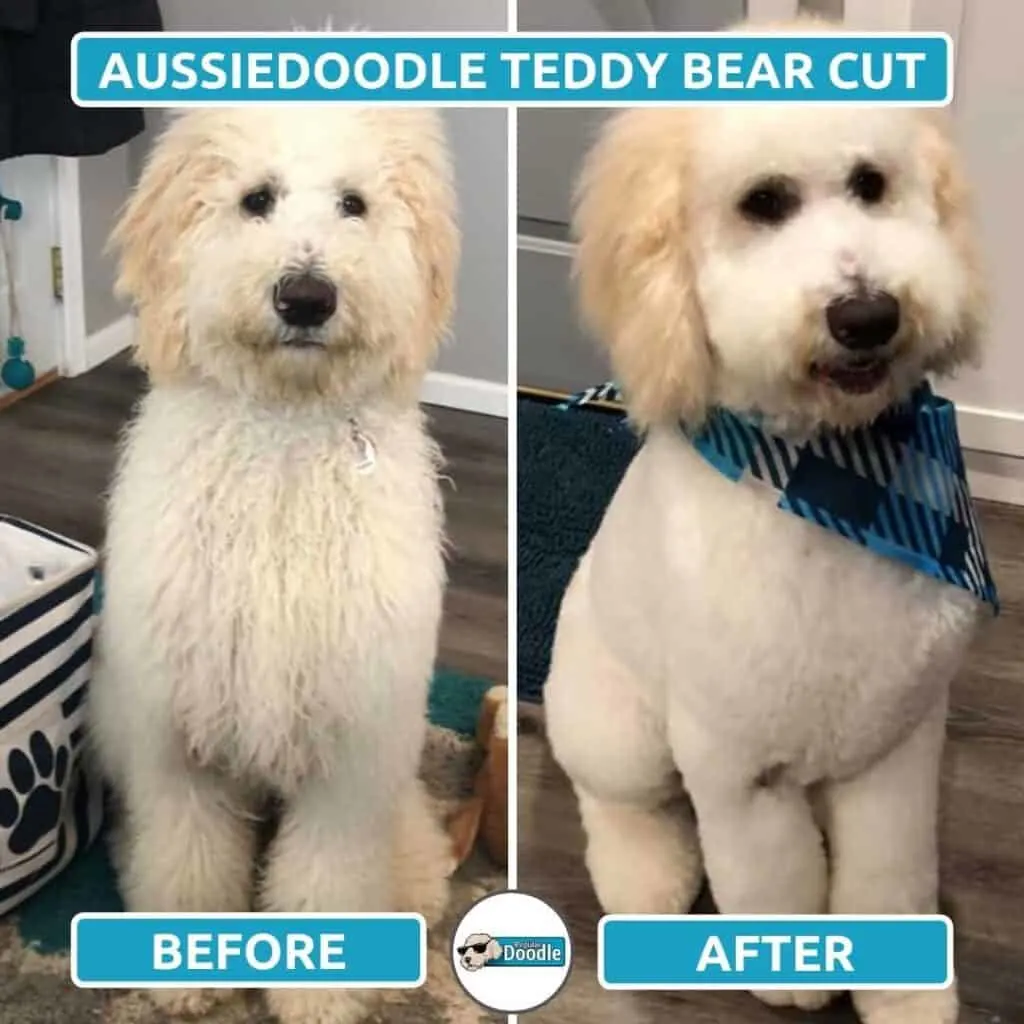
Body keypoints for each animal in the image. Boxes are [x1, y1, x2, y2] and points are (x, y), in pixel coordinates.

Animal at [92, 105, 460, 1024]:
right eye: (255, 198)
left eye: (354, 203)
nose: (306, 296)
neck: (285, 433)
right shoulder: (180, 742)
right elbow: (188, 858)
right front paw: (185, 978)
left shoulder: (350, 754)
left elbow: (328, 873)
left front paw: (319, 995)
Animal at [548, 18, 987, 1024]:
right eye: (765, 203)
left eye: (871, 183)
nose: (867, 313)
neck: (835, 485)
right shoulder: (737, 769)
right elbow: (773, 873)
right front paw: (794, 972)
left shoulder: (897, 749)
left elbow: (888, 880)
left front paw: (906, 995)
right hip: (621, 729)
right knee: (616, 802)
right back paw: (645, 879)